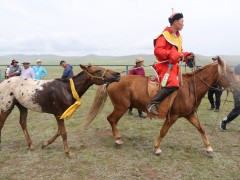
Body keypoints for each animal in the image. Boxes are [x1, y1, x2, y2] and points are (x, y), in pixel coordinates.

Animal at [83, 57, 240, 155]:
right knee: (111, 119)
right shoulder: (174, 116)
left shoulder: (189, 114)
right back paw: (117, 139)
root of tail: (114, 79)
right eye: (230, 72)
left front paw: (209, 148)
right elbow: (164, 131)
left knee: (112, 120)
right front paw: (156, 148)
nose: (237, 86)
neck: (190, 88)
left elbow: (201, 129)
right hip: (121, 107)